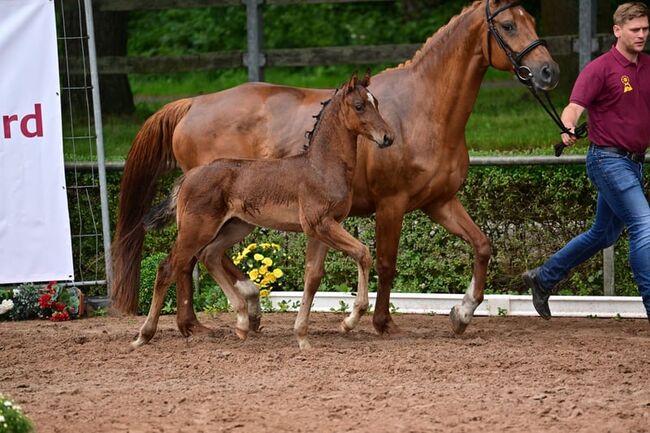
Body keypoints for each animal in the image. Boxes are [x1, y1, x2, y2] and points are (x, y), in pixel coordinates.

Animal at [132, 72, 392, 350]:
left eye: (376, 102)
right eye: (359, 106)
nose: (388, 137)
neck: (320, 167)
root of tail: (188, 177)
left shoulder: (322, 229)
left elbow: (313, 276)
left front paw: (303, 337)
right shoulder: (320, 224)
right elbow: (363, 253)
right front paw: (348, 321)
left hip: (236, 226)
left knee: (209, 255)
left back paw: (242, 322)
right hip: (196, 230)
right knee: (168, 268)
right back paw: (143, 335)